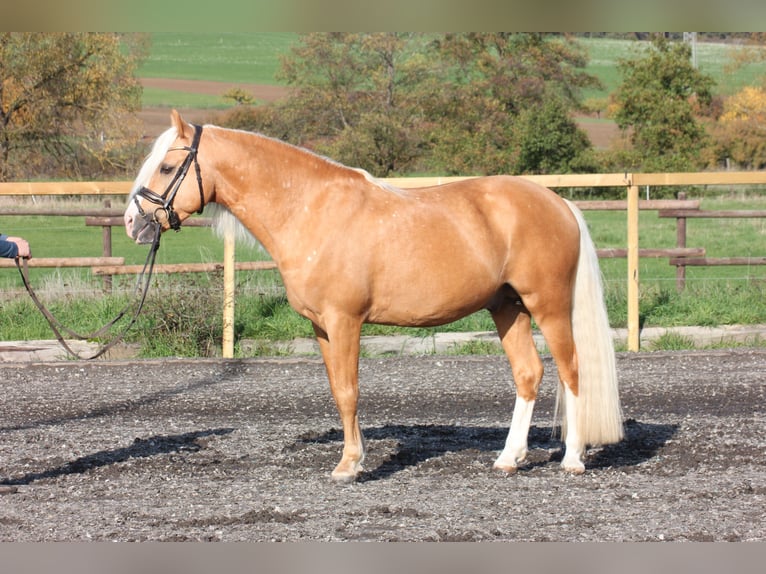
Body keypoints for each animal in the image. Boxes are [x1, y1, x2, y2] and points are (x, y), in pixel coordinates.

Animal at [126, 110, 624, 484]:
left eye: (167, 167)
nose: (134, 223)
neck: (310, 209)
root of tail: (559, 203)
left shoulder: (345, 320)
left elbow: (349, 391)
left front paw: (349, 466)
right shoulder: (321, 326)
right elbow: (336, 389)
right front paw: (354, 455)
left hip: (549, 305)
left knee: (571, 370)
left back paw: (573, 459)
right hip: (507, 307)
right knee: (528, 373)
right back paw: (508, 458)